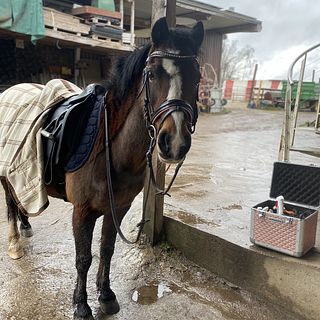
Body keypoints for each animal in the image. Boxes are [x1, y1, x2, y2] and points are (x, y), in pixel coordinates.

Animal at [0, 18, 204, 318]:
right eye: (152, 74)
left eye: (197, 76)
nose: (174, 143)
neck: (111, 150)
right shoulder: (82, 211)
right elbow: (83, 258)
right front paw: (81, 304)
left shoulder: (118, 207)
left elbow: (107, 249)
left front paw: (106, 295)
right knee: (10, 202)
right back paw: (15, 241)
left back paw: (26, 226)